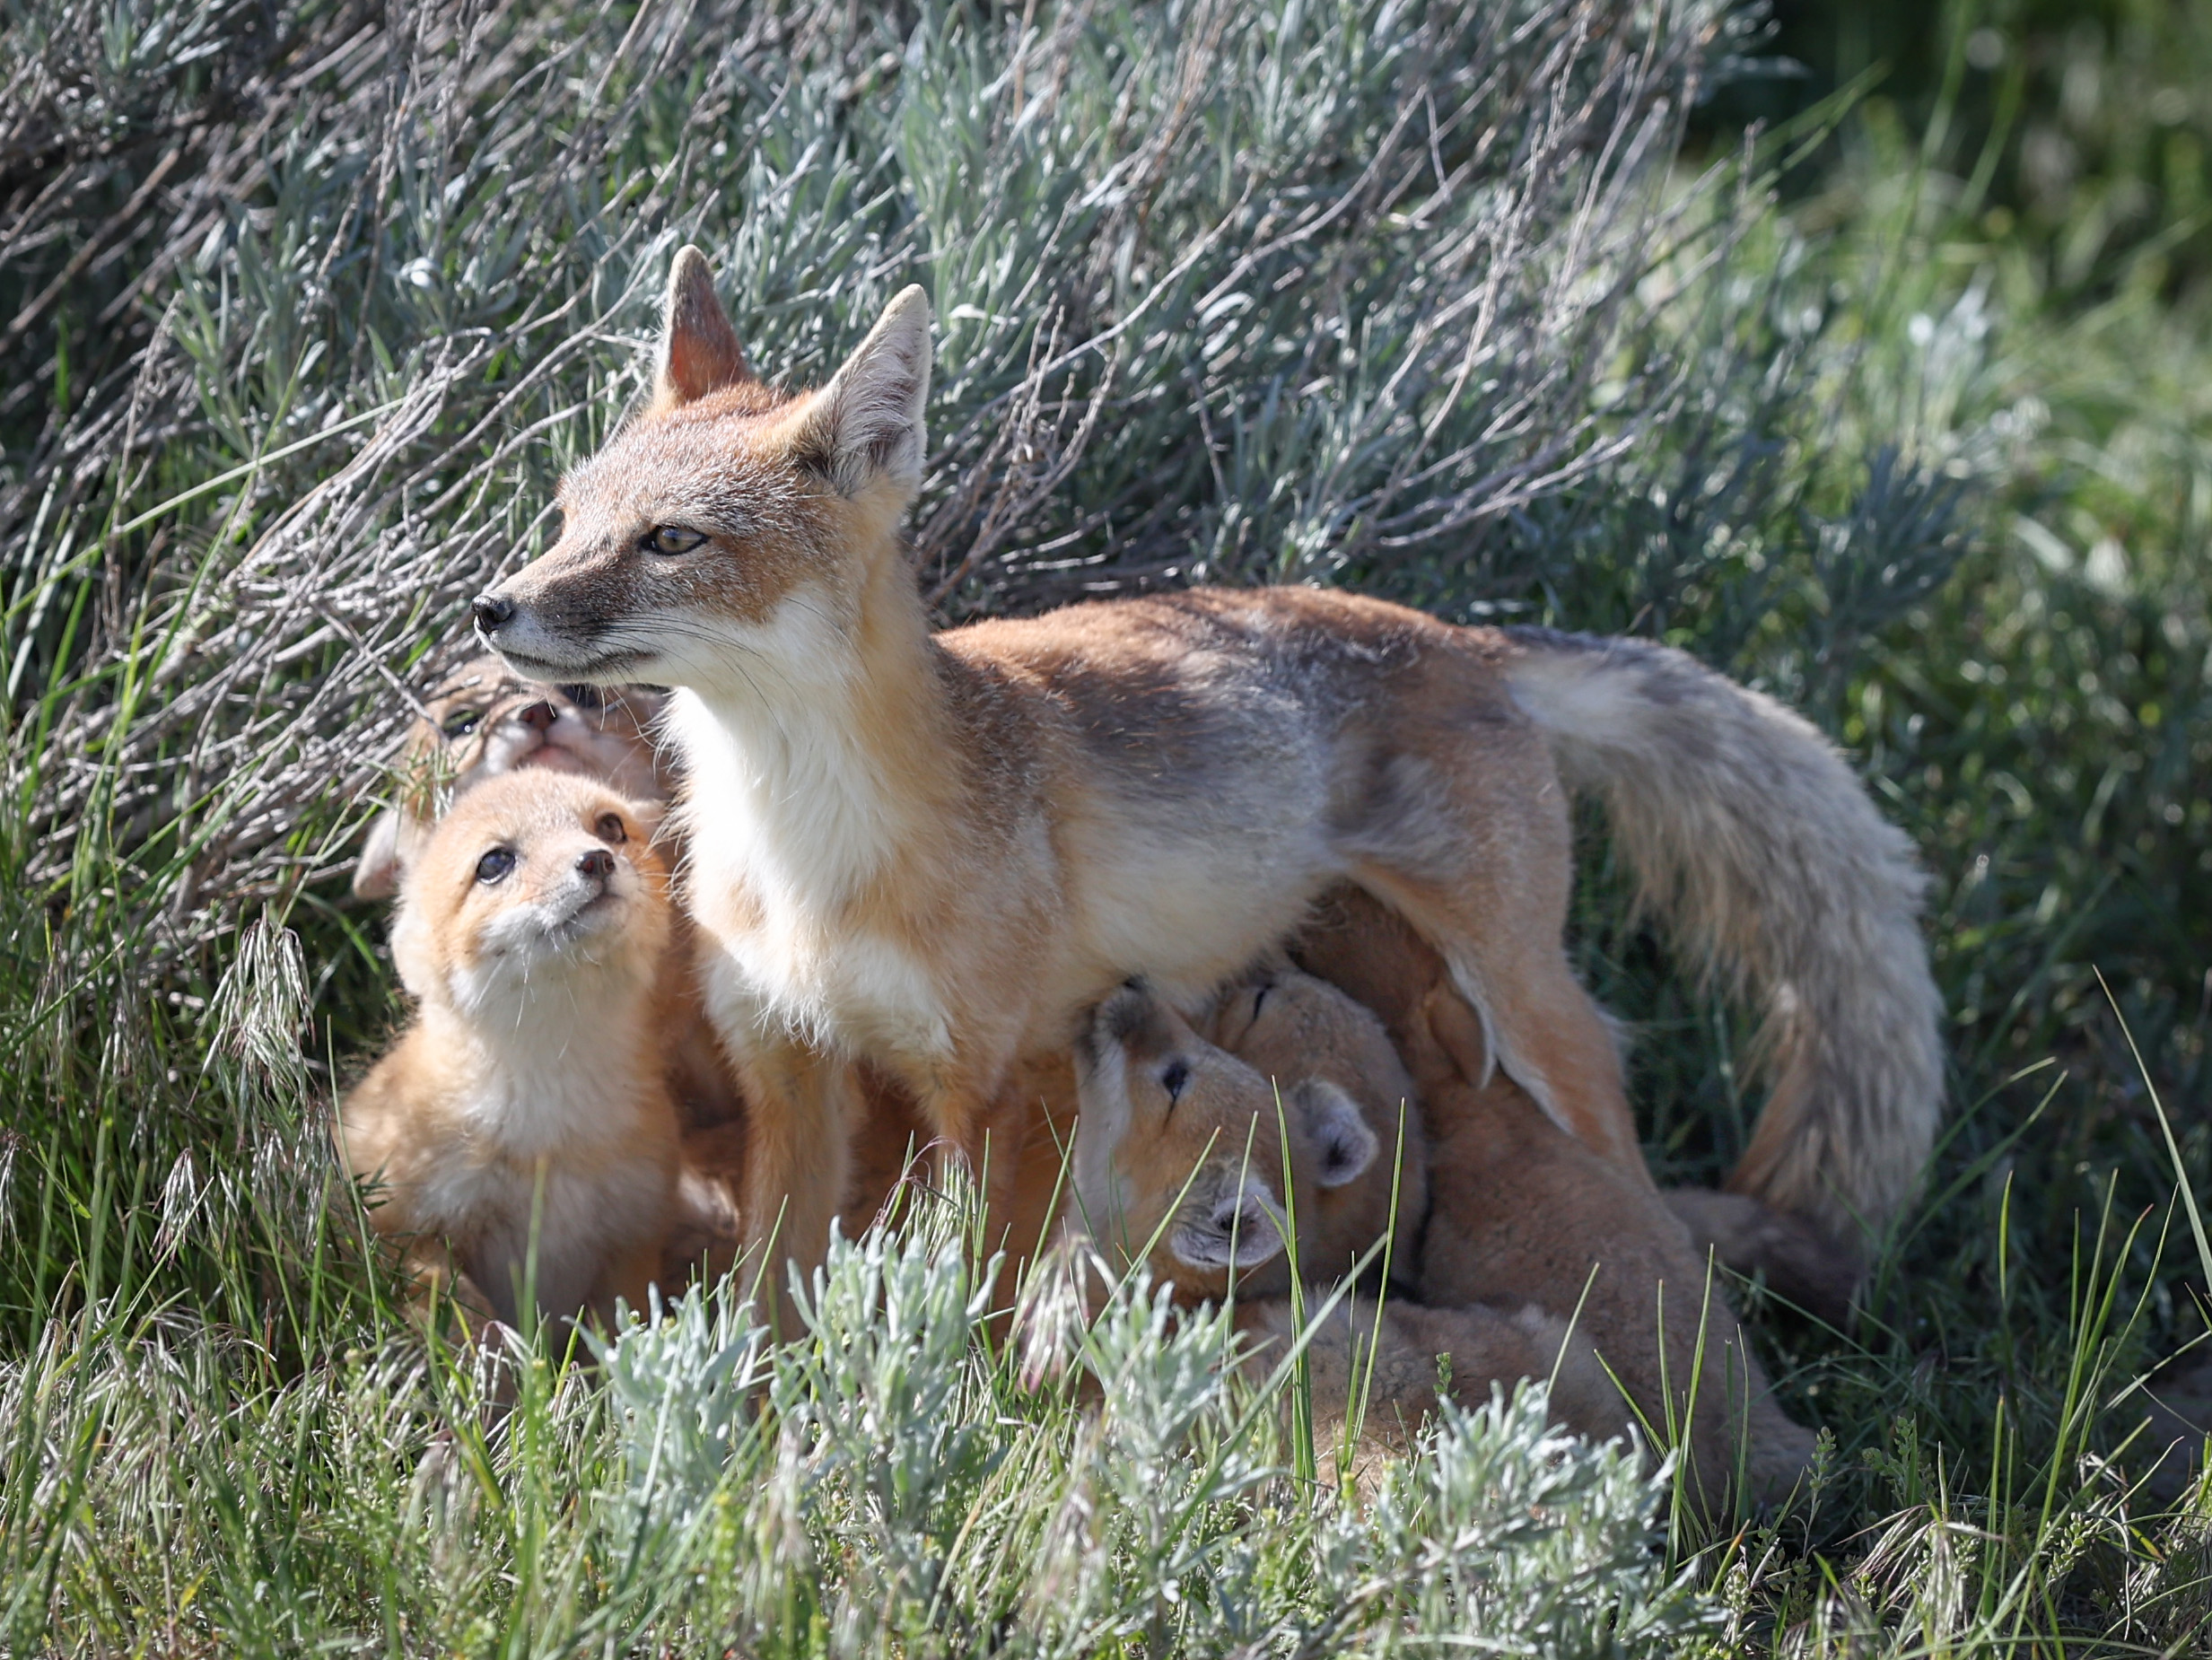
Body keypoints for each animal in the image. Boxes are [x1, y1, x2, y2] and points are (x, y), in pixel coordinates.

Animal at [339, 770, 693, 1332]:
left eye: (610, 826)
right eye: (494, 863)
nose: (596, 860)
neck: (551, 1138)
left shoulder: (630, 1241)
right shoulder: (409, 1234)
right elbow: (470, 1330)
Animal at [470, 246, 1944, 1312]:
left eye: (671, 541)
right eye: (569, 514)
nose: (492, 607)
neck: (803, 857)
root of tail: (1458, 633)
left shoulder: (977, 1083)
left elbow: (959, 1294)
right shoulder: (790, 1065)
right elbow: (770, 1294)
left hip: (1526, 999)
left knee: (1609, 1128)